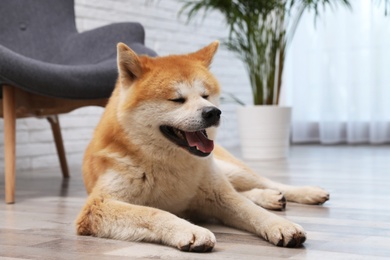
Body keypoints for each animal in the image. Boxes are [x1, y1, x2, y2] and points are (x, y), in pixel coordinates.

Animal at [76, 42, 330, 252]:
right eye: (177, 99)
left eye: (205, 95)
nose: (213, 112)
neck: (169, 164)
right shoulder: (99, 205)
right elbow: (155, 212)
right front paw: (190, 230)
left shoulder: (219, 195)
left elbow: (251, 210)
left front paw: (281, 225)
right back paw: (269, 197)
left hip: (230, 170)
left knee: (265, 182)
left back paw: (305, 192)